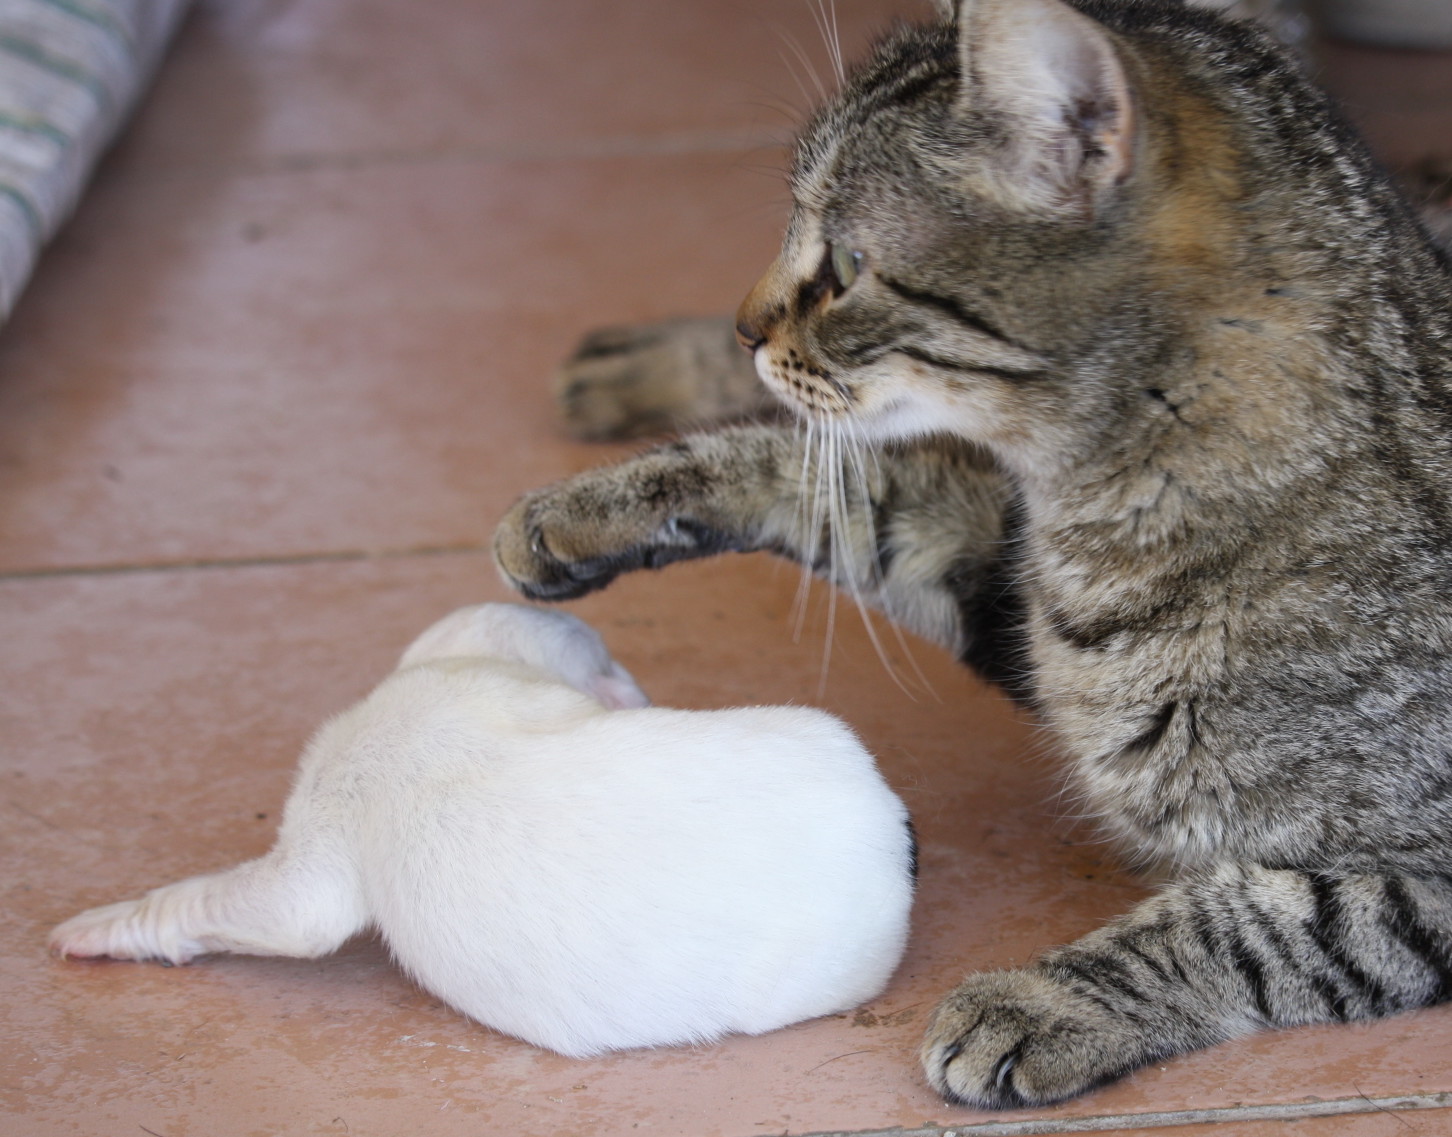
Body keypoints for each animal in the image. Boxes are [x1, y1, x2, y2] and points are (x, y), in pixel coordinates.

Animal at [492, 0, 1452, 1108]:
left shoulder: (1422, 879)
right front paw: (588, 509)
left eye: (845, 269)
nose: (747, 326)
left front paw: (1043, 1001)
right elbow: (845, 480)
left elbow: (1256, 921)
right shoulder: (1000, 572)